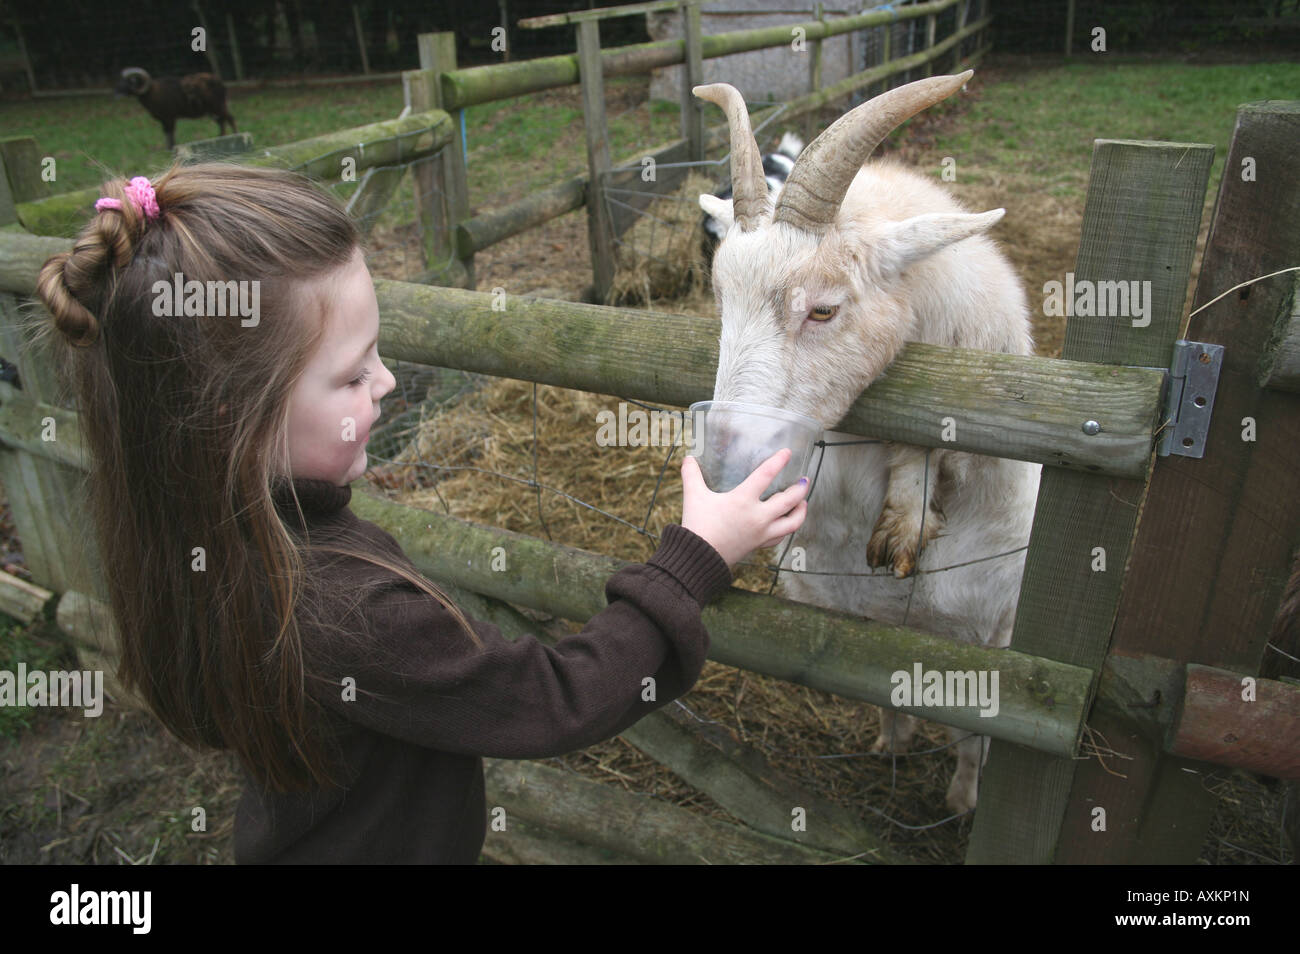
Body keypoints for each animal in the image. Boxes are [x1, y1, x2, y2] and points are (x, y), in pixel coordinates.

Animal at [696, 70, 1040, 816]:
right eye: (720, 298)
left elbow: (978, 736)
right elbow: (882, 690)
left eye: (824, 309)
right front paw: (893, 744)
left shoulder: (1000, 634)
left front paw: (964, 801)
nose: (722, 471)